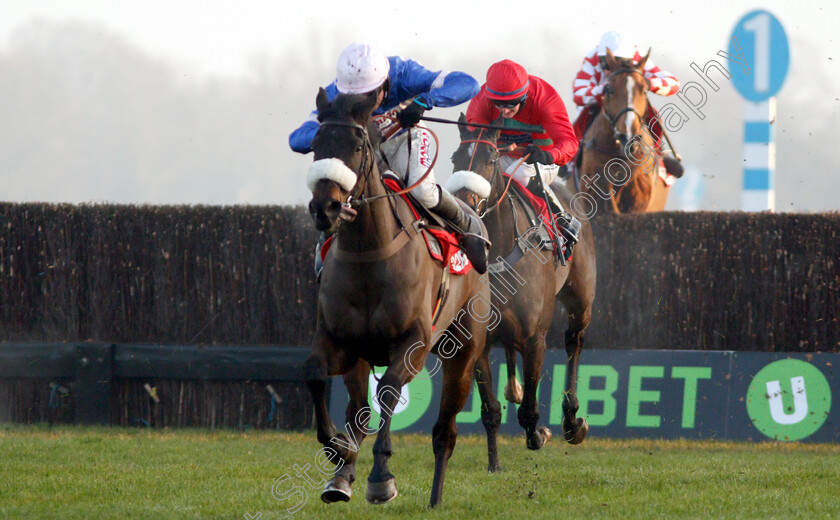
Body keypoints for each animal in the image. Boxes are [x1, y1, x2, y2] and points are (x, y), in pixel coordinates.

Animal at [302, 89, 488, 508]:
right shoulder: (338, 340)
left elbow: (388, 390)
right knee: (358, 407)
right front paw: (339, 451)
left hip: (464, 353)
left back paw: (435, 497)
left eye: (357, 146)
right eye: (316, 145)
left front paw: (381, 477)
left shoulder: (413, 342)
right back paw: (341, 477)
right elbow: (317, 374)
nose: (325, 208)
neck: (369, 256)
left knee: (444, 432)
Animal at [446, 118, 596, 472]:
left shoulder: (534, 337)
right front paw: (494, 464)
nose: (463, 207)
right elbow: (490, 410)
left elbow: (529, 407)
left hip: (580, 299)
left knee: (574, 341)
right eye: (455, 159)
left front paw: (540, 433)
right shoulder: (480, 339)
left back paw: (572, 420)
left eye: (490, 159)